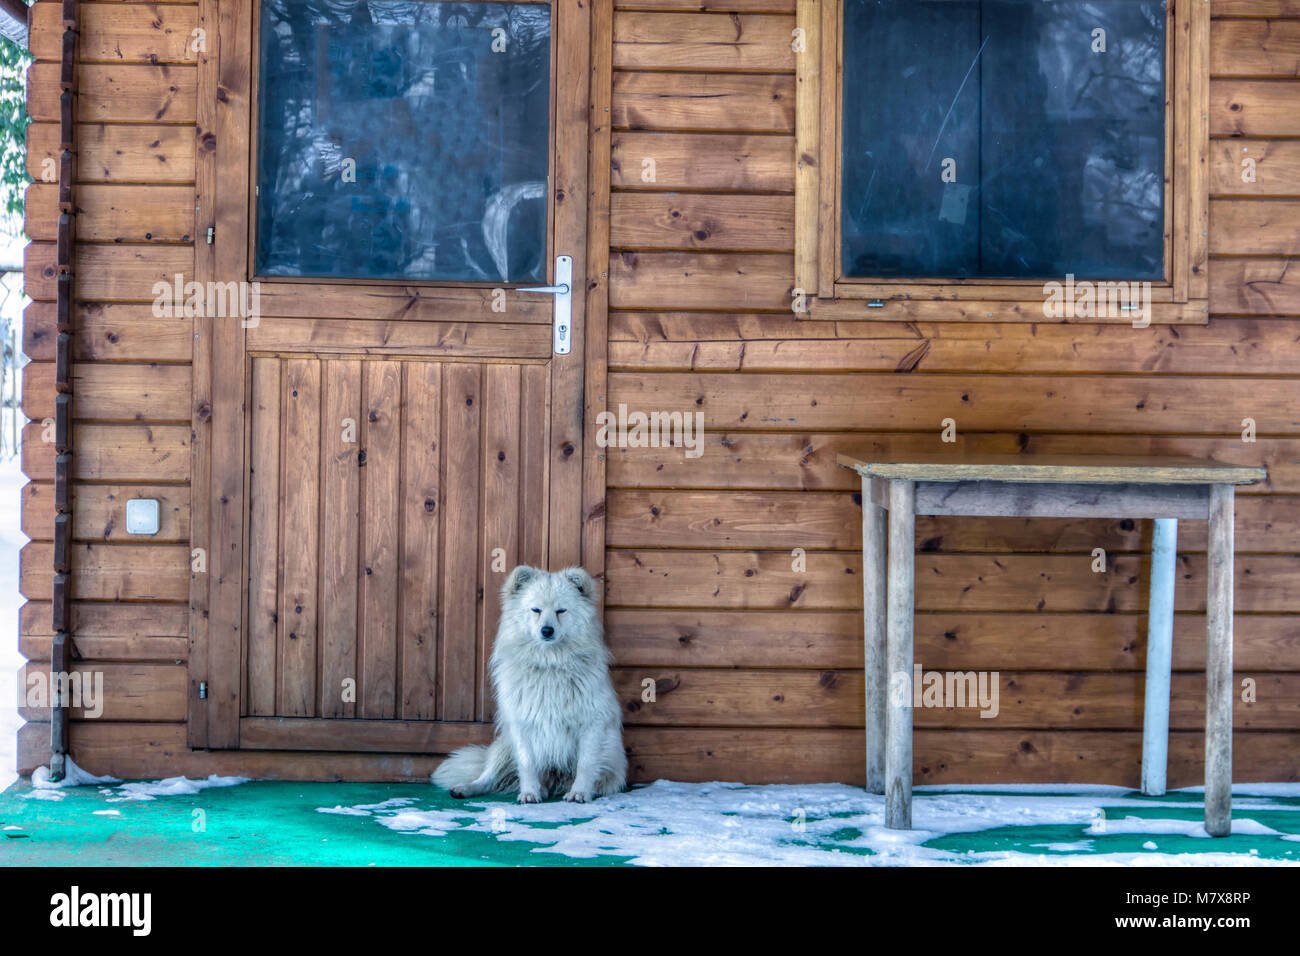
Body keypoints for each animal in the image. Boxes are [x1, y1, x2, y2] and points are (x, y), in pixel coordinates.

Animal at [431, 564, 624, 806]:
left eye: (561, 610)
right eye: (536, 610)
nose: (547, 630)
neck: (549, 664)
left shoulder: (592, 722)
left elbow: (586, 764)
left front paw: (579, 793)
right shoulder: (521, 722)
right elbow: (527, 762)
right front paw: (530, 793)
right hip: (504, 746)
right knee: (488, 777)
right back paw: (465, 788)